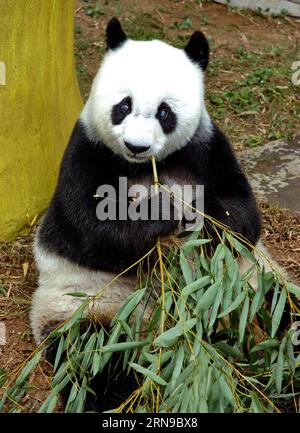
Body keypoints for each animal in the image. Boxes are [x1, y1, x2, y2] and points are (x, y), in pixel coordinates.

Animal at [31, 19, 264, 412]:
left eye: (164, 112)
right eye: (123, 106)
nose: (136, 146)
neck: (147, 166)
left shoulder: (207, 145)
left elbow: (243, 214)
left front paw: (203, 214)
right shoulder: (86, 149)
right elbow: (86, 227)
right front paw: (161, 211)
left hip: (247, 288)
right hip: (87, 304)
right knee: (95, 357)